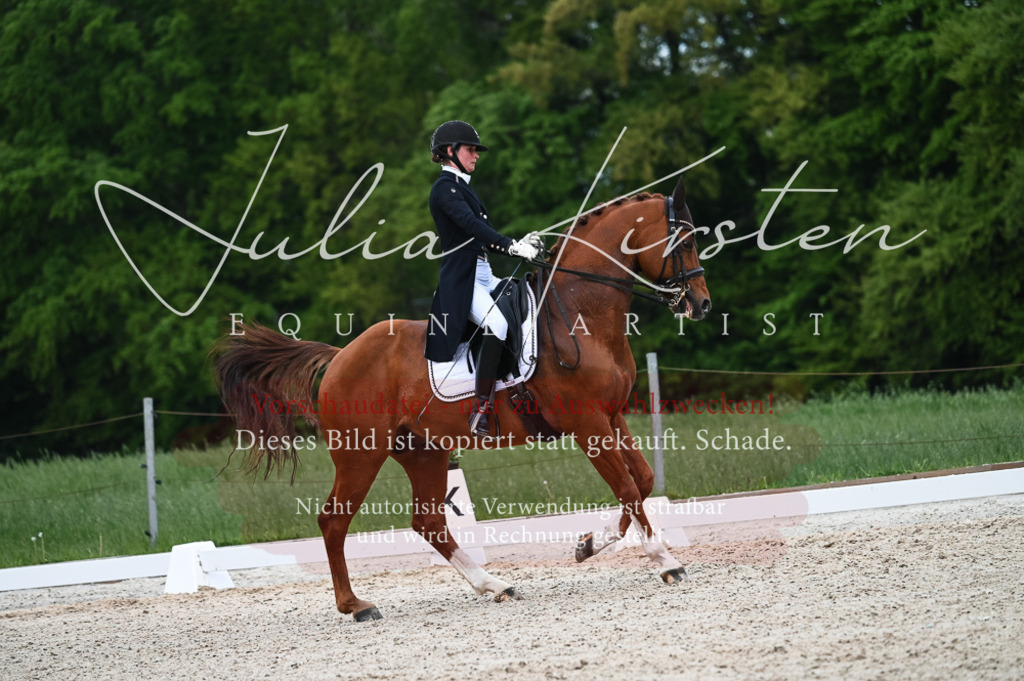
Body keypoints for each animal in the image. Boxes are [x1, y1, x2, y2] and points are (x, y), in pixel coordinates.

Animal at [212, 175, 712, 622]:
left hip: (424, 452)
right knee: (334, 521)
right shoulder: (586, 423)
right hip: (360, 455)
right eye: (685, 241)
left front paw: (588, 544)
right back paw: (357, 606)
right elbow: (625, 485)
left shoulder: (612, 416)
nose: (701, 305)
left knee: (429, 523)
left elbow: (642, 481)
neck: (580, 313)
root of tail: (339, 357)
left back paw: (493, 585)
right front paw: (664, 561)